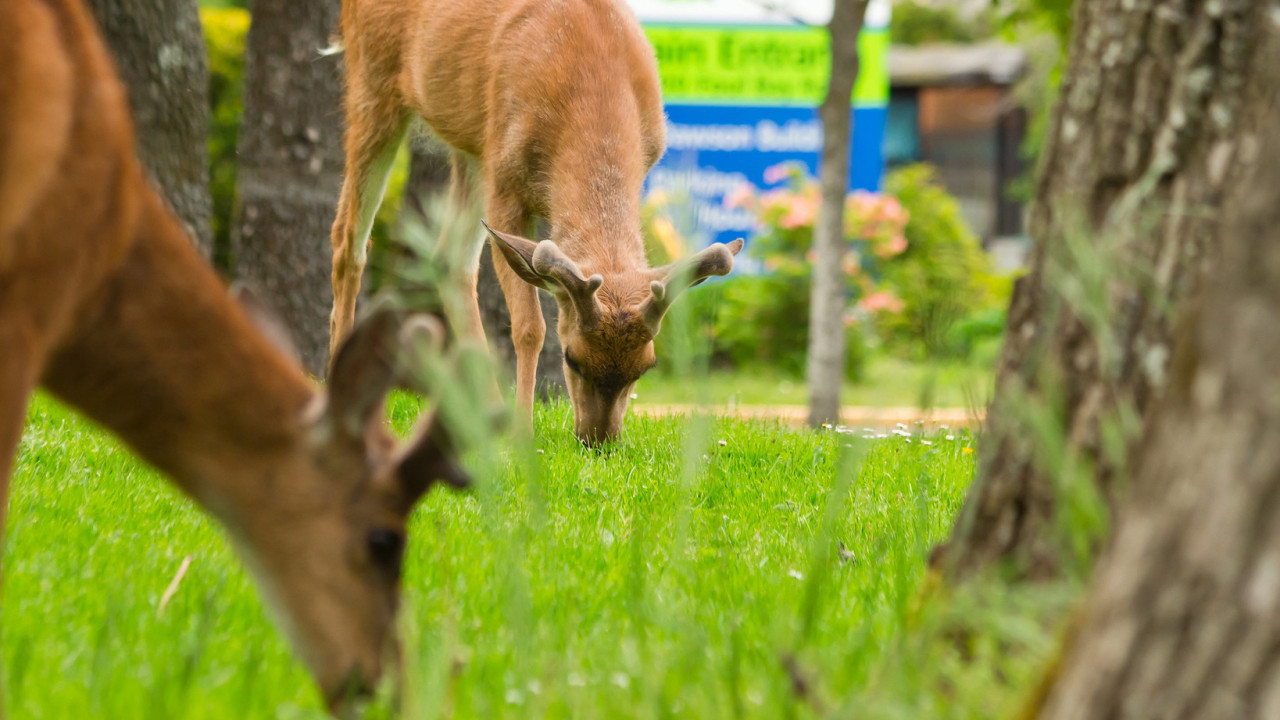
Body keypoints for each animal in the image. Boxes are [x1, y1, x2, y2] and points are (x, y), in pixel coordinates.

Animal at [330, 0, 747, 443]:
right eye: (572, 358)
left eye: (646, 366)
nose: (599, 441)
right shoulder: (505, 185)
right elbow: (529, 326)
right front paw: (523, 430)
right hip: (373, 85)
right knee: (349, 240)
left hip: (472, 149)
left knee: (448, 260)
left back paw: (487, 412)